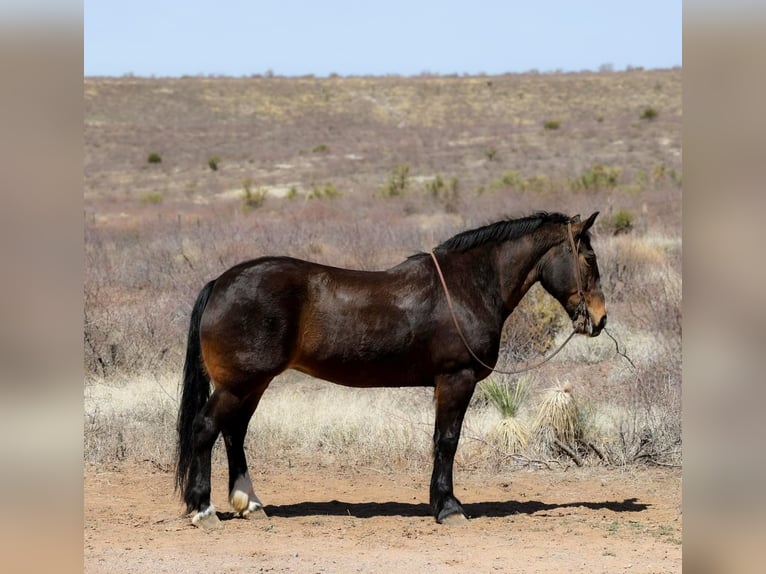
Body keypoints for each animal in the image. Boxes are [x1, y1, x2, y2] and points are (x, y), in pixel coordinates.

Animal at [175, 211, 606, 528]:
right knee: (206, 428)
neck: (467, 286)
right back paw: (204, 510)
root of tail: (219, 283)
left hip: (253, 384)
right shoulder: (457, 379)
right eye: (589, 259)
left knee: (234, 433)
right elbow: (447, 441)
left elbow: (439, 441)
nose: (600, 319)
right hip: (239, 384)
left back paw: (250, 504)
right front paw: (449, 508)